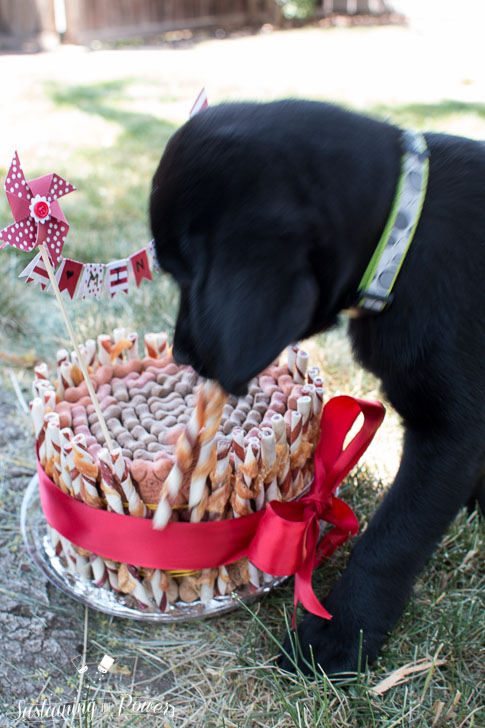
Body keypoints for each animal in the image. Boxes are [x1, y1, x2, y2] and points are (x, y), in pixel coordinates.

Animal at [149, 99, 482, 672]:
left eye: (185, 274)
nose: (181, 355)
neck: (404, 239)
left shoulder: (452, 431)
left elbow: (393, 539)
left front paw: (340, 635)